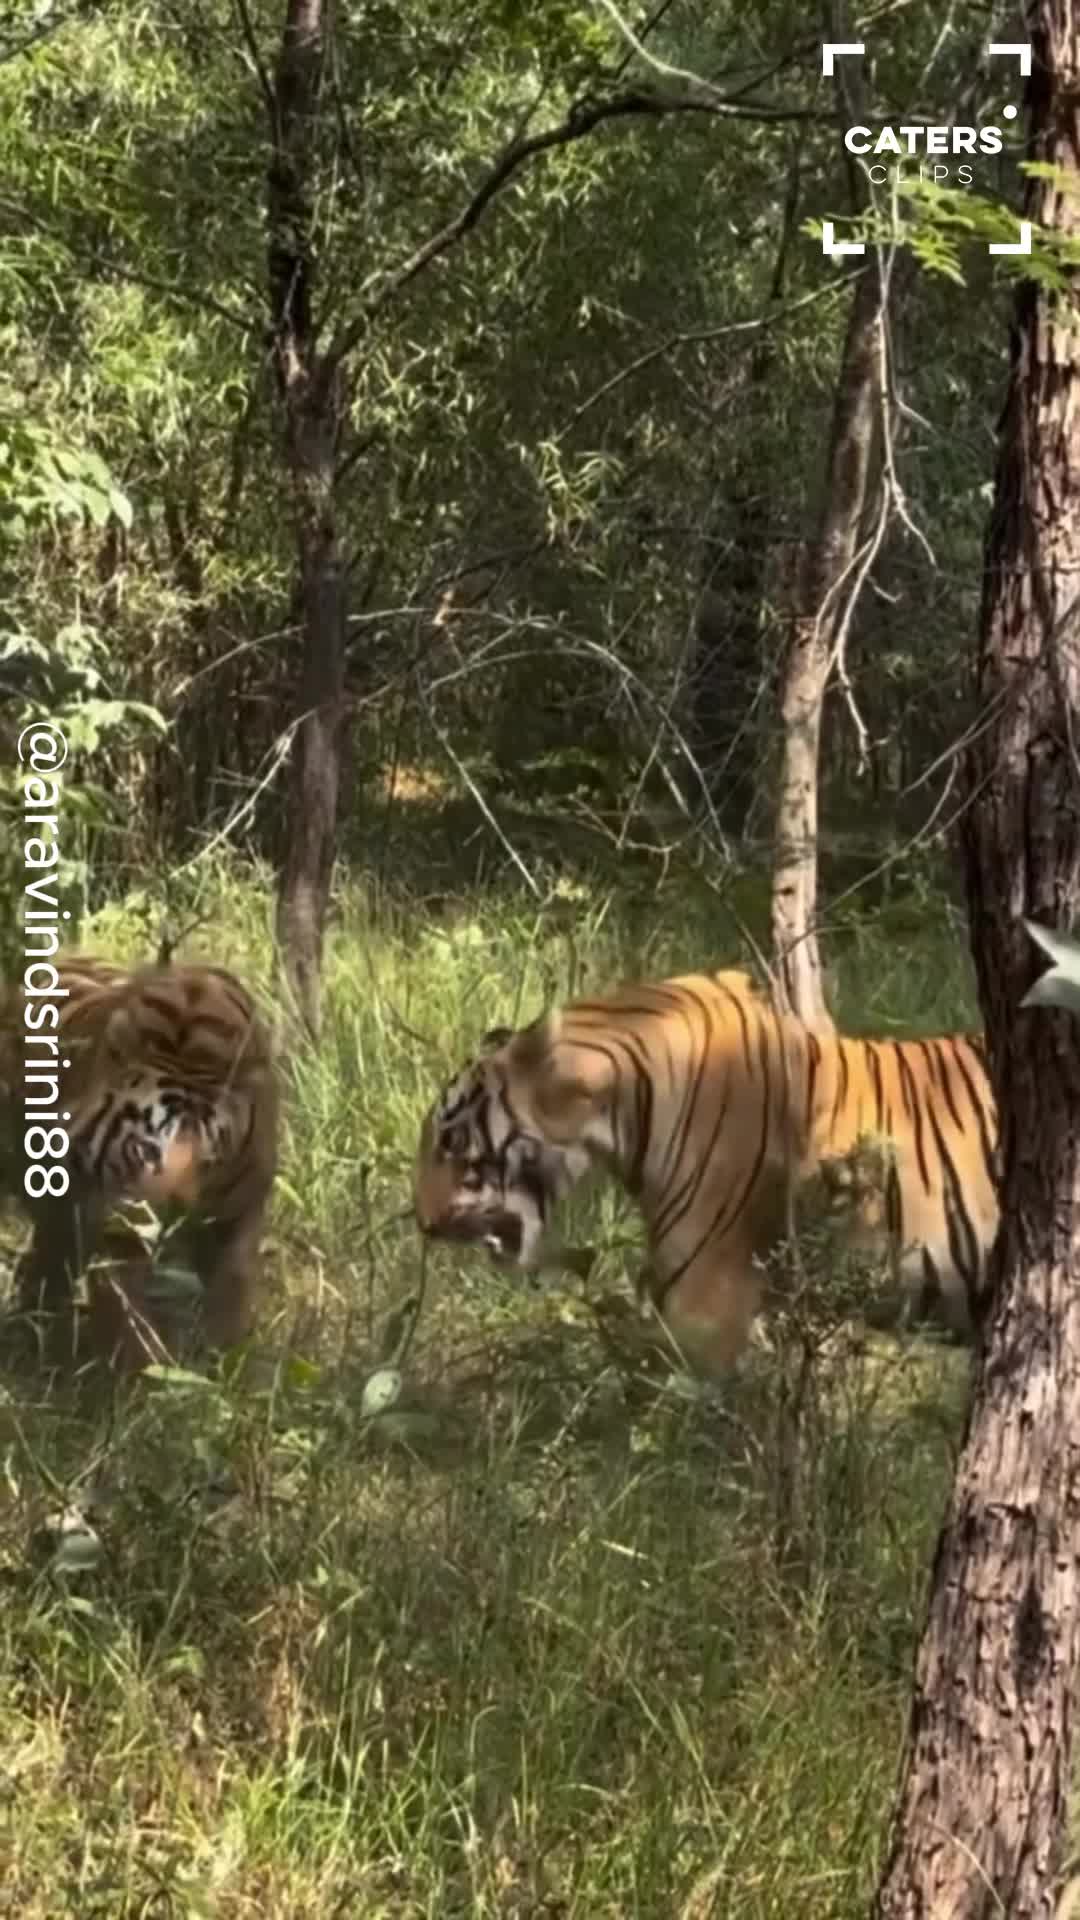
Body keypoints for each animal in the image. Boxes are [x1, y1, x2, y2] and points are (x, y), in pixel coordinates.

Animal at [0, 955, 279, 1360]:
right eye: (146, 1148)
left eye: (208, 1158)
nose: (172, 1217)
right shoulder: (112, 1219)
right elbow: (126, 1313)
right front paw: (148, 1370)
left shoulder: (240, 1209)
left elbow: (232, 1287)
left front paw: (222, 1361)